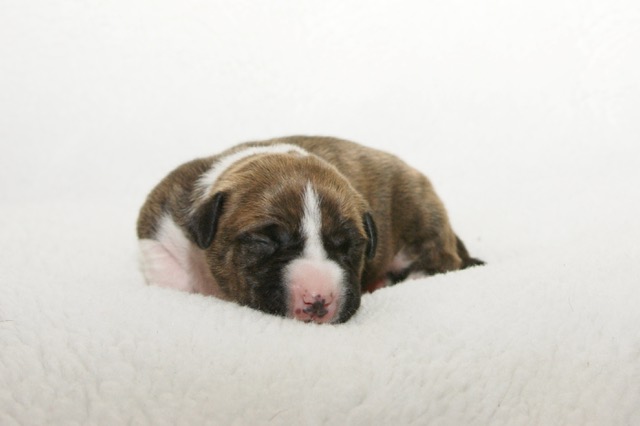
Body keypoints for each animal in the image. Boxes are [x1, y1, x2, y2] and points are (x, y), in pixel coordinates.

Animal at [137, 136, 483, 323]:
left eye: (349, 246)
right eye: (265, 241)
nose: (318, 301)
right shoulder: (158, 224)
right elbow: (167, 269)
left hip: (421, 214)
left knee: (439, 262)